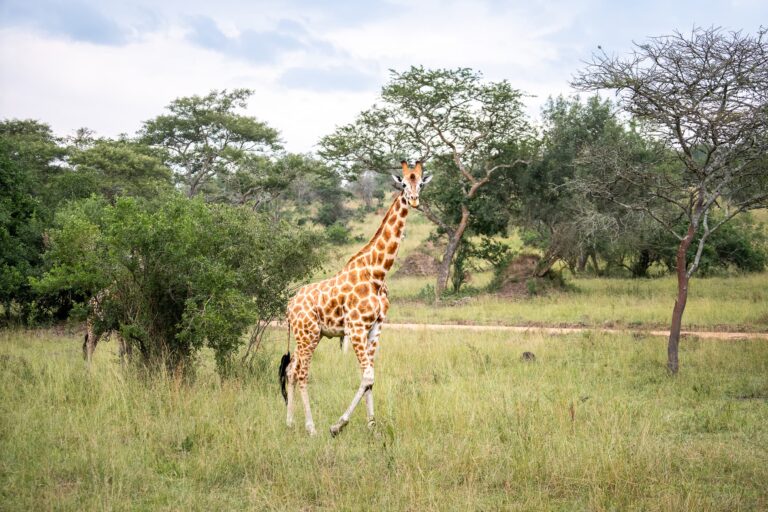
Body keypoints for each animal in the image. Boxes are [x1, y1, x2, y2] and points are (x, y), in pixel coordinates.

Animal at [280, 160, 432, 436]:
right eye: (404, 184)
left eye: (421, 183)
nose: (414, 200)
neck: (377, 273)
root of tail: (289, 305)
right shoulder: (357, 327)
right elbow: (368, 375)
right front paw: (337, 425)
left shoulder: (376, 328)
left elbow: (369, 376)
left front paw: (372, 426)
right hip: (307, 335)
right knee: (303, 372)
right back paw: (311, 428)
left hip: (308, 334)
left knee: (291, 369)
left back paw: (289, 422)